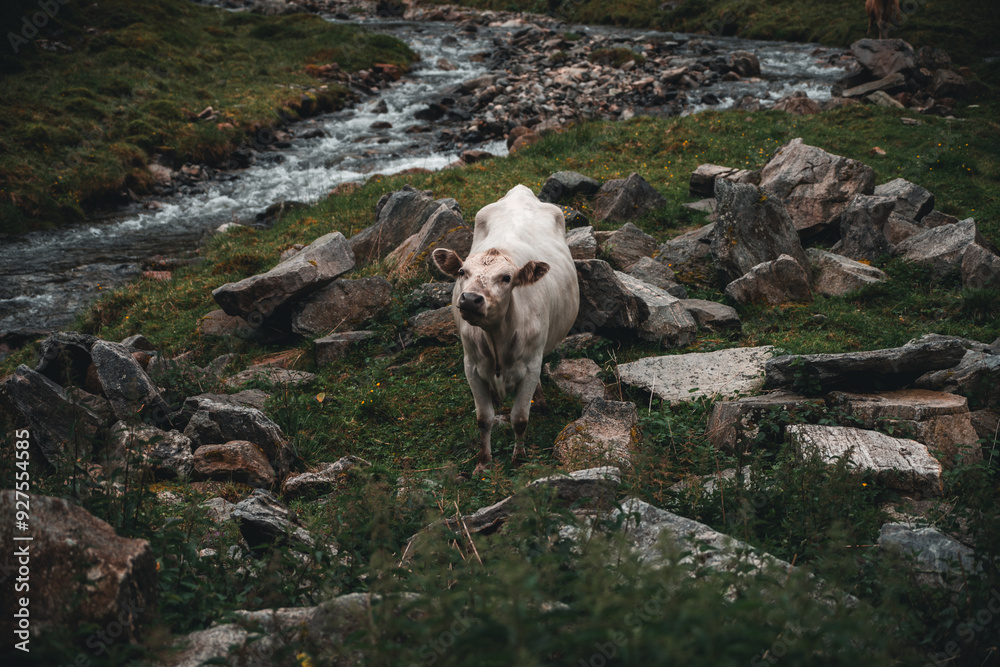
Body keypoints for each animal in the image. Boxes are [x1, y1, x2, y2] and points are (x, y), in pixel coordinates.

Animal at [431, 185, 580, 474]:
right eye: (462, 272)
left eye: (507, 278)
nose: (470, 299)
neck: (496, 339)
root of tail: (520, 191)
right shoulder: (471, 367)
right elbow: (484, 419)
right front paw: (483, 463)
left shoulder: (530, 366)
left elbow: (520, 418)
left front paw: (518, 459)